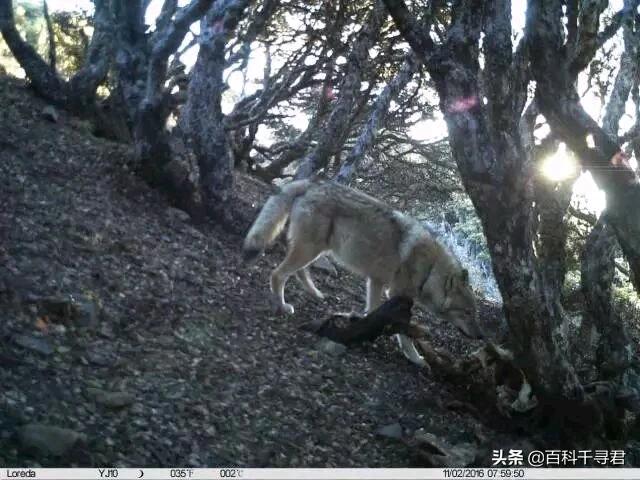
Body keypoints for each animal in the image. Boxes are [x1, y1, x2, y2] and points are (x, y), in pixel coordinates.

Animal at [242, 179, 482, 364]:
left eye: (474, 313)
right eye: (467, 313)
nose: (480, 336)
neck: (430, 270)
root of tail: (312, 182)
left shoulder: (375, 283)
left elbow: (373, 312)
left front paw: (365, 328)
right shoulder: (396, 295)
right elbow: (404, 334)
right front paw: (414, 358)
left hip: (318, 251)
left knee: (301, 273)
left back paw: (316, 295)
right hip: (310, 250)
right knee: (278, 274)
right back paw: (281, 306)